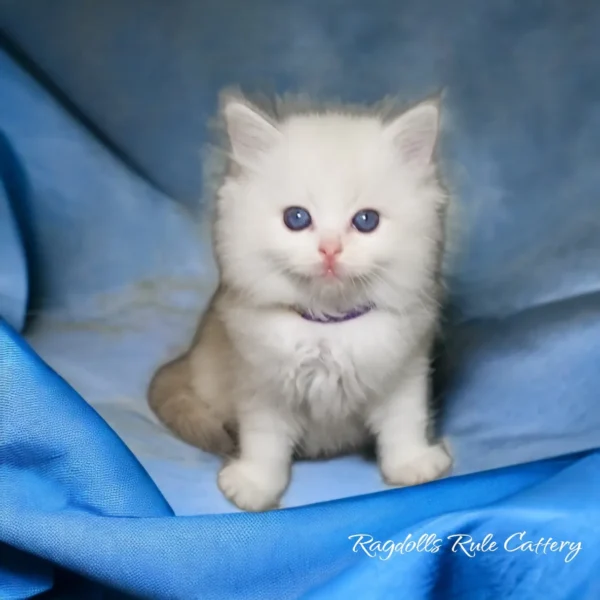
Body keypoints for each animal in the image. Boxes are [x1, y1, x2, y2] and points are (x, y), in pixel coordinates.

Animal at [149, 92, 450, 510]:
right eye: (297, 218)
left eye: (366, 221)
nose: (330, 250)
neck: (329, 327)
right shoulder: (261, 385)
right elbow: (265, 444)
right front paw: (254, 487)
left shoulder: (404, 371)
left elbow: (404, 423)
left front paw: (412, 466)